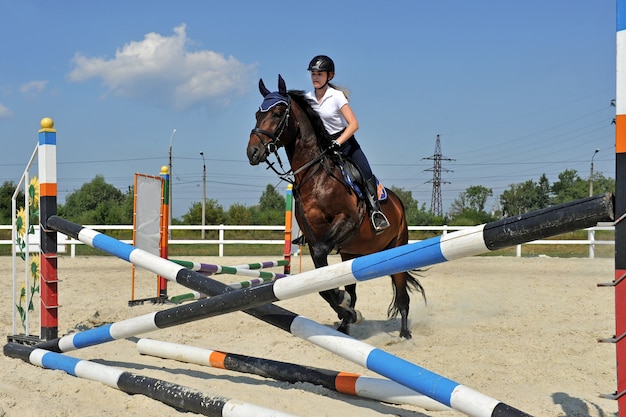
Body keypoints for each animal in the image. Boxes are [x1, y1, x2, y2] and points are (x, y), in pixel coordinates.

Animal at [245, 74, 424, 338]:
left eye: (277, 113)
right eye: (257, 114)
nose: (253, 152)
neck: (315, 175)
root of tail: (398, 203)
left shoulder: (345, 222)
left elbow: (324, 266)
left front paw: (343, 304)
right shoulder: (312, 237)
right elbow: (323, 284)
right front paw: (346, 310)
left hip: (397, 248)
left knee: (402, 295)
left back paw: (404, 335)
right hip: (351, 254)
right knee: (354, 287)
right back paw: (345, 325)